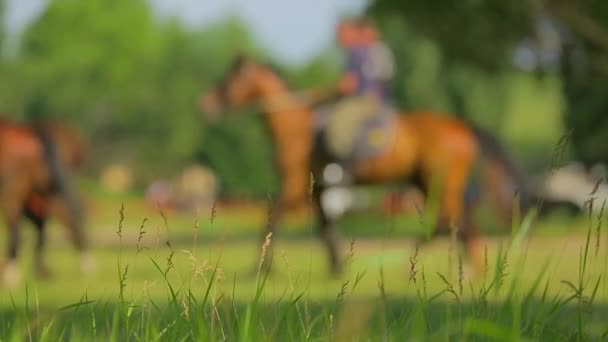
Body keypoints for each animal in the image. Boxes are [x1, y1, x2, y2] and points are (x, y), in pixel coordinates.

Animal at [200, 55, 532, 276]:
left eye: (233, 79)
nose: (205, 104)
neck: (298, 129)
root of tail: (462, 127)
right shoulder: (319, 190)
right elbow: (325, 229)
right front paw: (337, 265)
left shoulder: (295, 187)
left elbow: (272, 222)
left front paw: (261, 267)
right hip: (429, 183)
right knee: (458, 223)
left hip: (440, 183)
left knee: (454, 222)